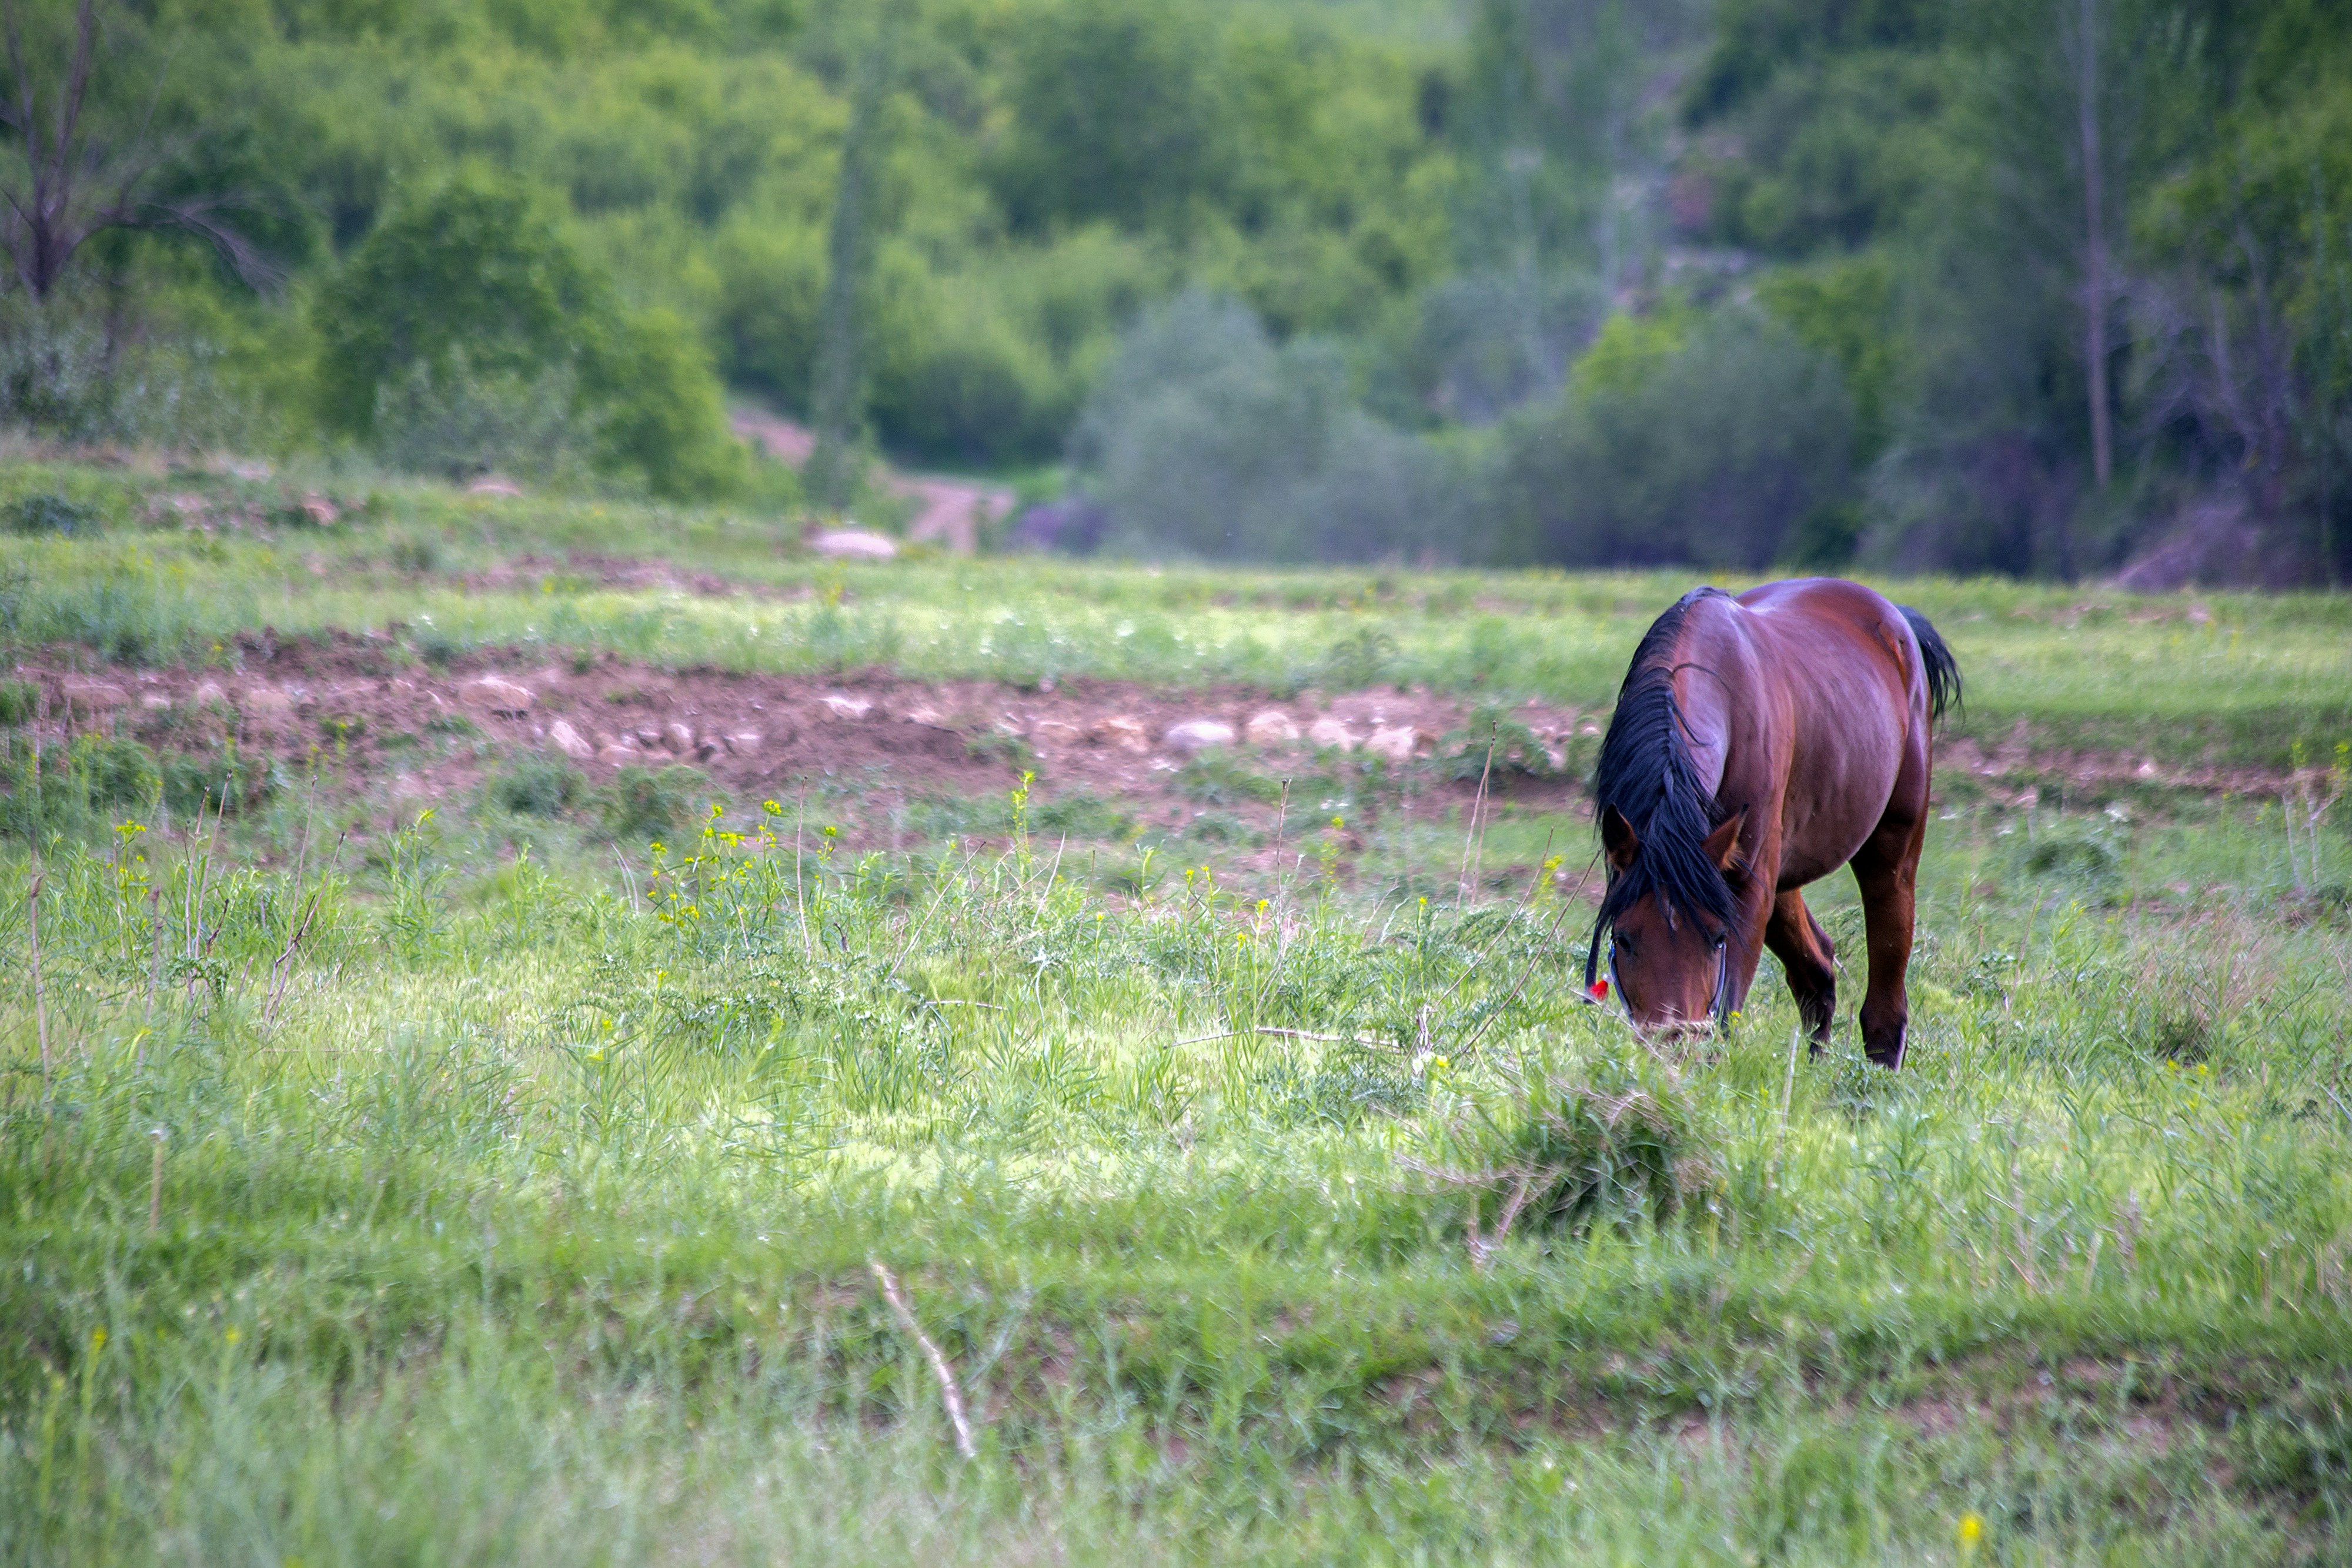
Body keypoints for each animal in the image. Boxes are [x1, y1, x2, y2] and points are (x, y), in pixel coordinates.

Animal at [1581, 576, 1966, 1067]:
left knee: (1885, 1003)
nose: (1673, 1050)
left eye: (1717, 938)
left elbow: (1727, 1015)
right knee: (1817, 971)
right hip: (1781, 875)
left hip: (1891, 846)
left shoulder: (1747, 888)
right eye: (1625, 939)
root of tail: (1898, 622)